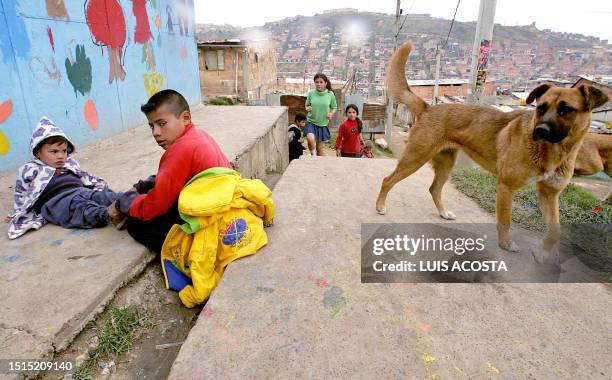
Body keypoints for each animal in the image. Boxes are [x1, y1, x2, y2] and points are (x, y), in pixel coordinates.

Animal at [376, 43, 608, 254]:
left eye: (566, 109)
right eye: (541, 107)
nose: (540, 130)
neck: (551, 151)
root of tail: (429, 107)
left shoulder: (549, 195)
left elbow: (555, 230)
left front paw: (546, 253)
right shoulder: (506, 186)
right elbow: (505, 220)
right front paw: (506, 245)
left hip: (446, 163)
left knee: (434, 189)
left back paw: (443, 212)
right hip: (415, 157)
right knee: (388, 179)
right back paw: (380, 206)